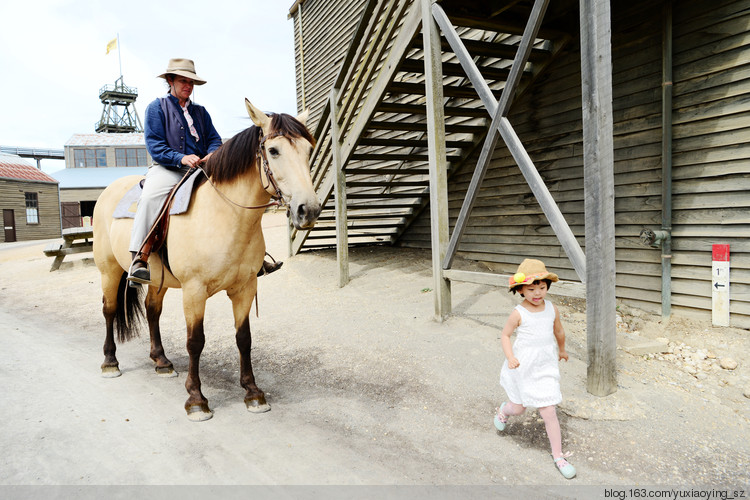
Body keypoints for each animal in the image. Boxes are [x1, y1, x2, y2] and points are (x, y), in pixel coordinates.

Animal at [92, 99, 322, 420]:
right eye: (274, 150)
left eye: (307, 150)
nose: (308, 210)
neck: (225, 216)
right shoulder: (194, 291)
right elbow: (195, 341)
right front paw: (196, 399)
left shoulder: (245, 288)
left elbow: (244, 338)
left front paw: (253, 393)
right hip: (109, 271)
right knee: (110, 310)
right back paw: (110, 362)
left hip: (158, 280)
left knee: (152, 311)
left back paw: (161, 362)